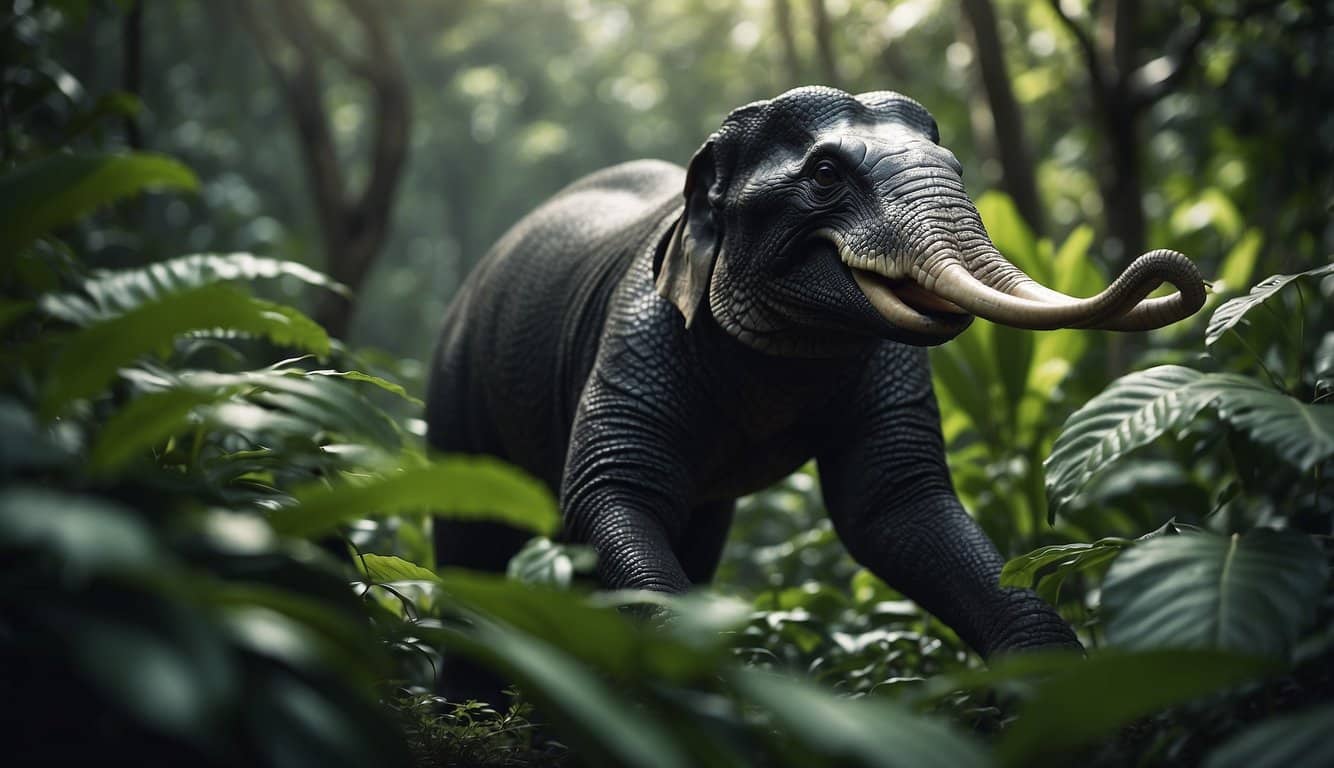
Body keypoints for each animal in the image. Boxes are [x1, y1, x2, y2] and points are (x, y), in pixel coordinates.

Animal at [425, 86, 1205, 668]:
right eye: (826, 175)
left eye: (955, 167)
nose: (1177, 273)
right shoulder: (639, 332)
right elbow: (608, 493)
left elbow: (893, 507)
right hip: (455, 398)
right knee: (474, 553)